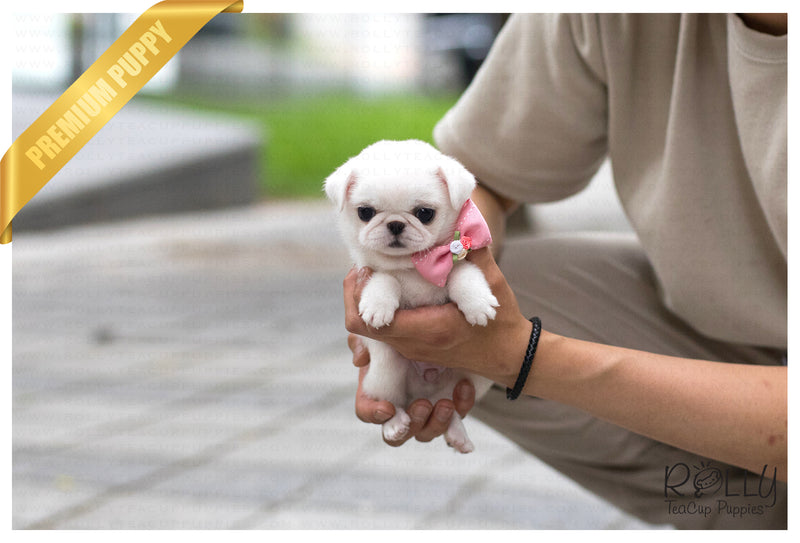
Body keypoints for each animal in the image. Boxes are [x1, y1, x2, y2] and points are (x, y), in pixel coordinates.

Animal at [322, 140, 496, 454]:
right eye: (365, 212)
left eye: (425, 213)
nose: (395, 224)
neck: (413, 265)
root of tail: (423, 387)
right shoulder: (373, 271)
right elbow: (385, 279)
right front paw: (378, 306)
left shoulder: (457, 263)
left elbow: (463, 276)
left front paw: (477, 304)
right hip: (386, 370)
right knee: (391, 404)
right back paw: (395, 424)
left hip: (475, 376)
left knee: (448, 406)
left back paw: (456, 433)